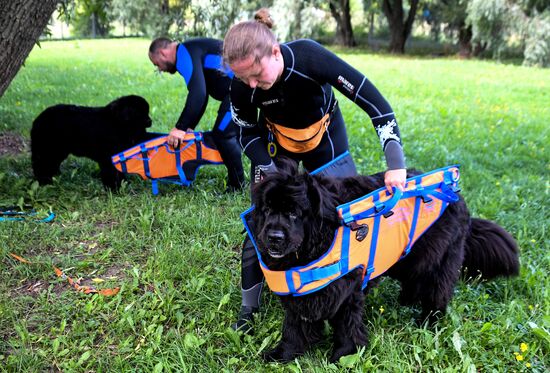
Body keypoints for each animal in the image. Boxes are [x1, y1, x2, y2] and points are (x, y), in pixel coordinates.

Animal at [252, 158, 520, 362]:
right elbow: (294, 326)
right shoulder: (302, 294)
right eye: (267, 210)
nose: (273, 237)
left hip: (438, 260)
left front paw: (344, 355)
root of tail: (456, 193)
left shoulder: (348, 289)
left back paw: (428, 321)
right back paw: (406, 301)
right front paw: (283, 354)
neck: (321, 237)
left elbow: (347, 324)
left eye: (294, 213)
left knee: (437, 291)